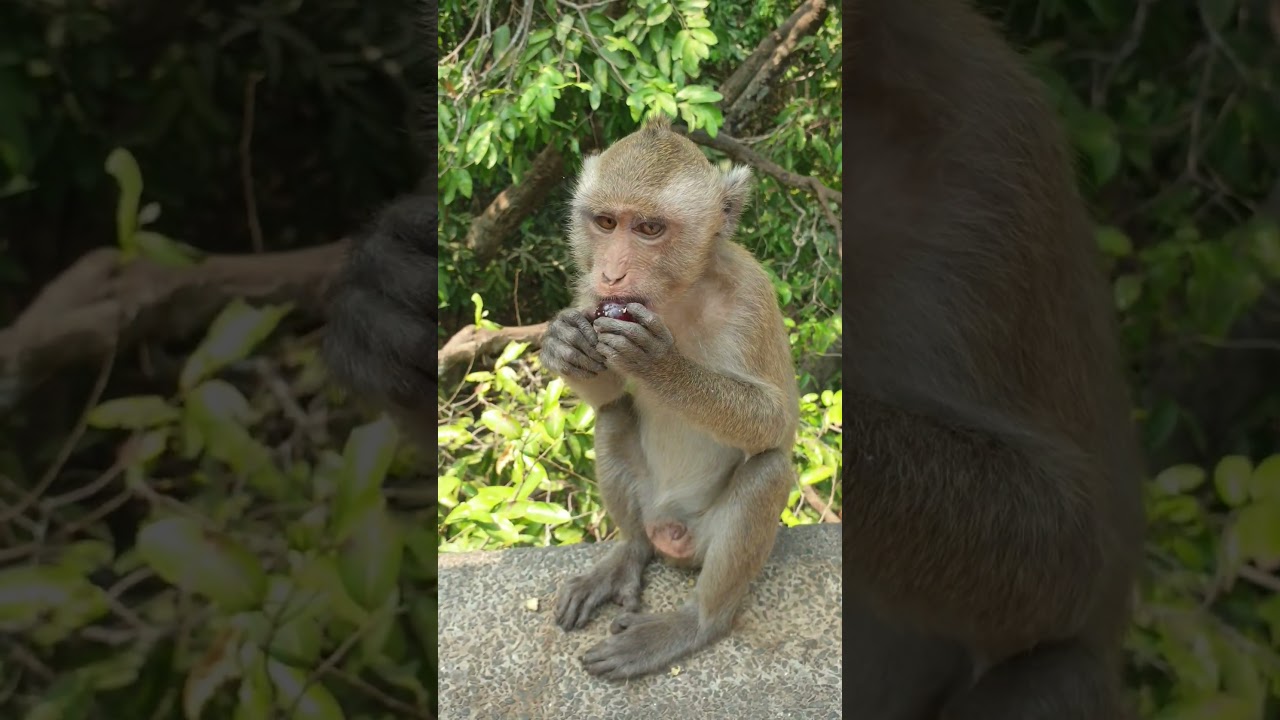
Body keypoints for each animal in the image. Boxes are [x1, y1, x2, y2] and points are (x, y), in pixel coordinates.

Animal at [537, 114, 801, 681]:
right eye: (606, 222)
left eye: (649, 229)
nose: (612, 272)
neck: (676, 297)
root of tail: (668, 530)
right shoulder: (592, 297)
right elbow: (607, 390)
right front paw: (563, 344)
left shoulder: (753, 297)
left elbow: (777, 423)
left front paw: (660, 364)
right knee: (613, 417)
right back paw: (628, 554)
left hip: (702, 541)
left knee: (769, 468)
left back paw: (694, 623)